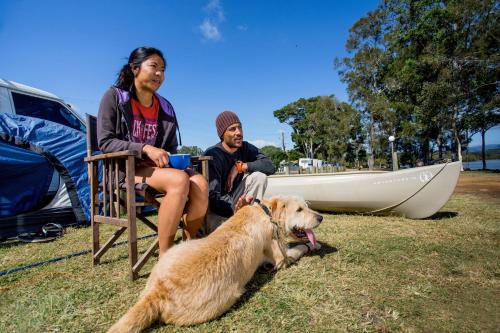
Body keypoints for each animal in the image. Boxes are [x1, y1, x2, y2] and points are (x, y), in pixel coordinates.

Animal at [107, 195, 322, 332]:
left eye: (307, 205)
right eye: (299, 209)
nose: (320, 217)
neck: (267, 212)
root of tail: (158, 290)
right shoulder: (281, 258)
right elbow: (299, 248)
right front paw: (314, 244)